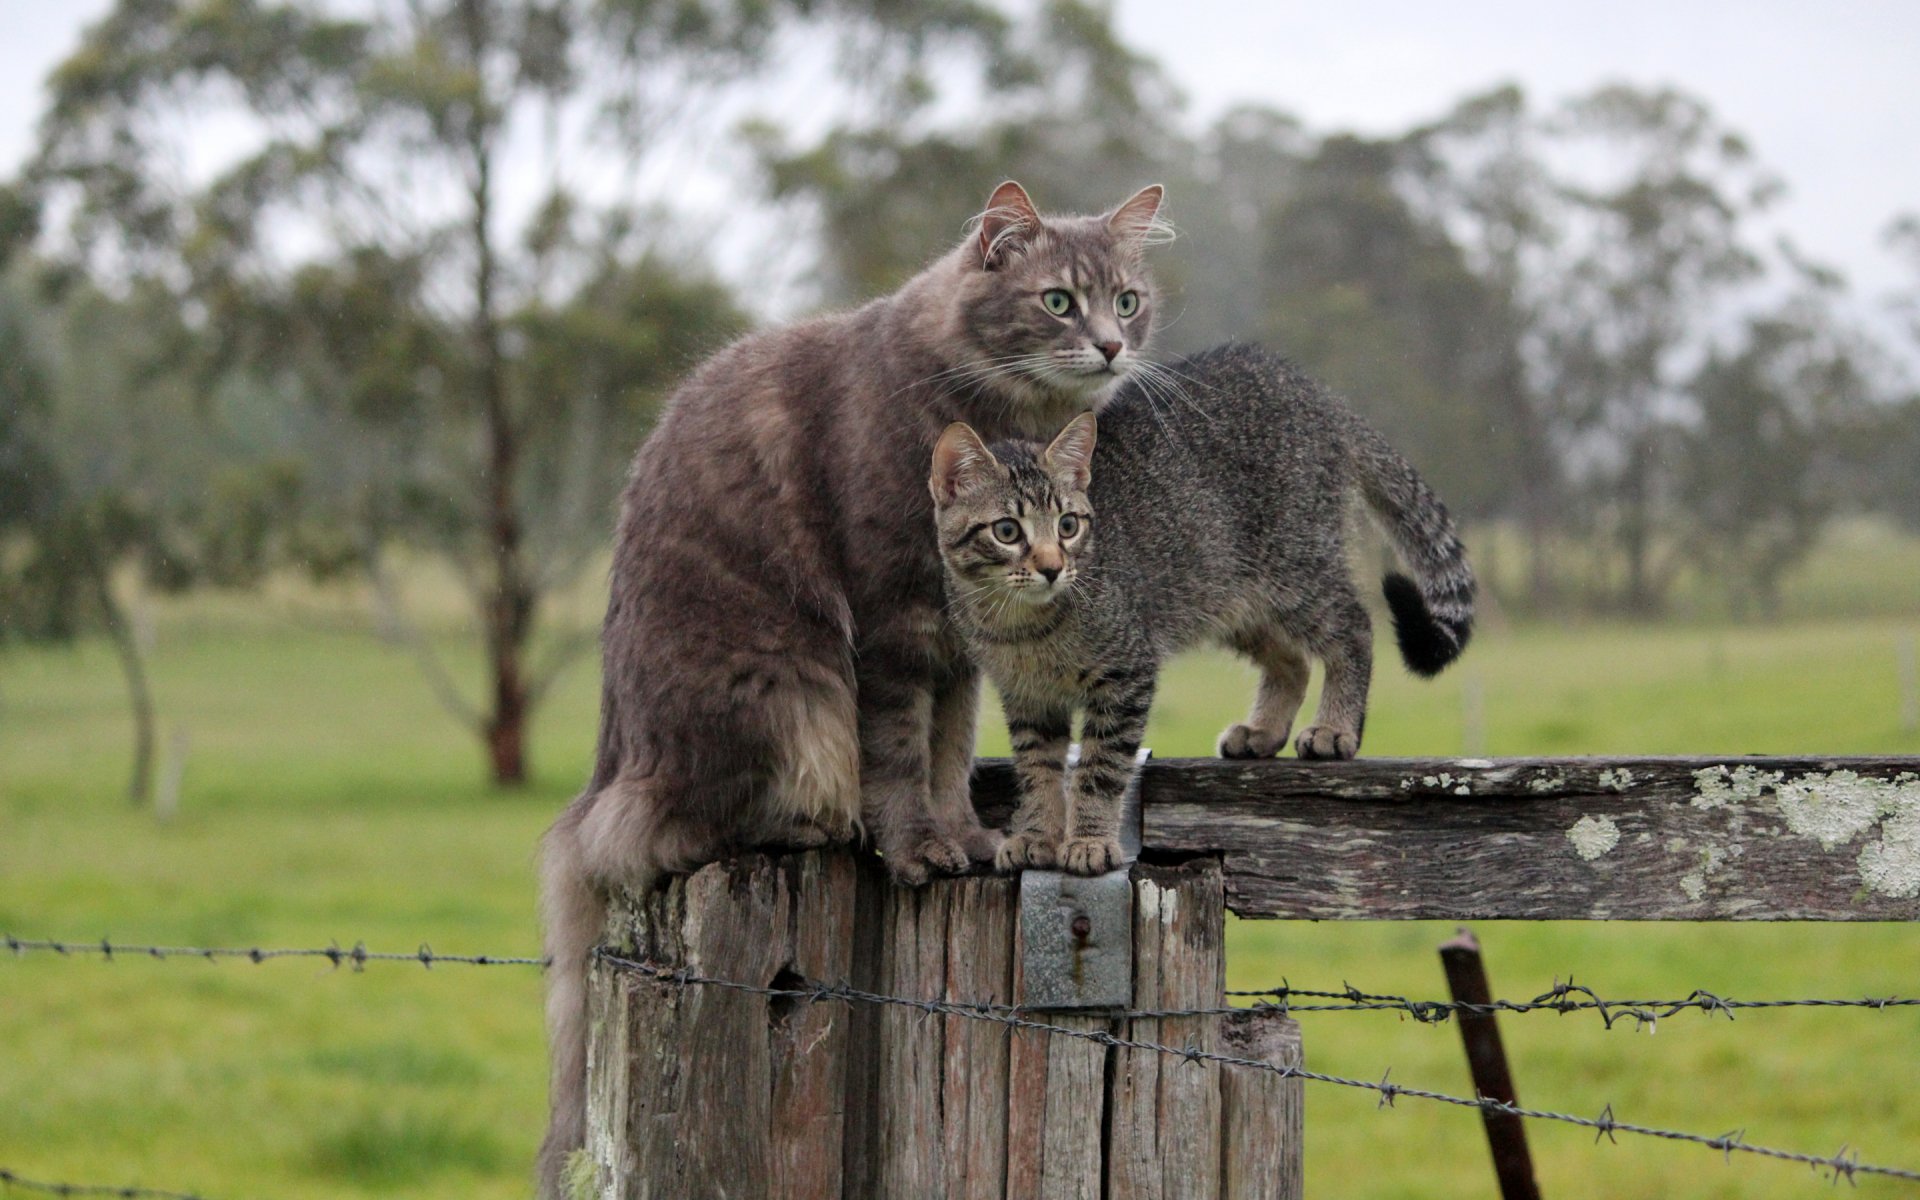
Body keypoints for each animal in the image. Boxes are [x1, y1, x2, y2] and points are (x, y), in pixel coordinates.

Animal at [537, 177, 1167, 1190]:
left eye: (1128, 299)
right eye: (1059, 301)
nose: (1112, 346)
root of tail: (603, 779)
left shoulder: (957, 647)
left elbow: (949, 754)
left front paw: (970, 840)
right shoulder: (890, 625)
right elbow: (900, 756)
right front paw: (916, 849)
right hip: (785, 689)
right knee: (673, 835)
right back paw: (817, 827)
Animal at [936, 341, 1474, 875]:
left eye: (1069, 525)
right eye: (1008, 531)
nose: (1052, 567)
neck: (1021, 625)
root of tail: (1314, 393)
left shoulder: (1127, 673)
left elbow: (1099, 769)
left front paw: (1089, 839)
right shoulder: (1028, 697)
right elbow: (1038, 770)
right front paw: (1037, 835)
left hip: (1296, 567)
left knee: (1354, 626)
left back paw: (1336, 726)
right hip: (1230, 594)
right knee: (1293, 660)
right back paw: (1262, 730)